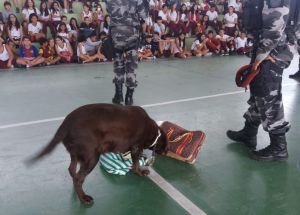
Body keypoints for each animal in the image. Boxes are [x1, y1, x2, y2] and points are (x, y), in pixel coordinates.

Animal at [27, 104, 169, 205]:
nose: (166, 150)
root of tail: (65, 125)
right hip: (92, 157)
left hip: (76, 154)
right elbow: (135, 163)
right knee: (79, 178)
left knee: (72, 171)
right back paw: (84, 198)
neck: (154, 132)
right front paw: (140, 172)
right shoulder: (136, 147)